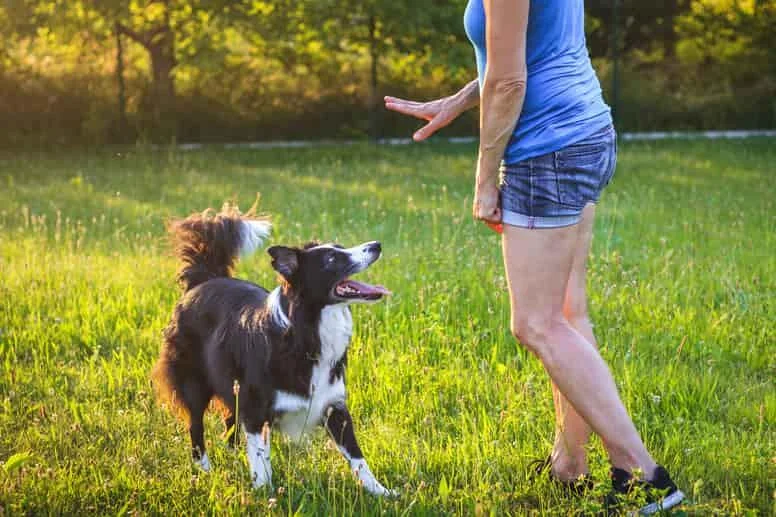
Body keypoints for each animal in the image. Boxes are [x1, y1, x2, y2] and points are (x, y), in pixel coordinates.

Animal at [153, 207, 394, 496]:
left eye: (340, 247)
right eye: (332, 259)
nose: (376, 245)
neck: (306, 332)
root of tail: (203, 281)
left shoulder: (333, 405)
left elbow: (357, 457)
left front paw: (381, 492)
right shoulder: (257, 408)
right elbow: (261, 460)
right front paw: (264, 494)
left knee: (230, 423)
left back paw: (231, 456)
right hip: (195, 382)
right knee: (196, 426)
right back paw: (203, 468)